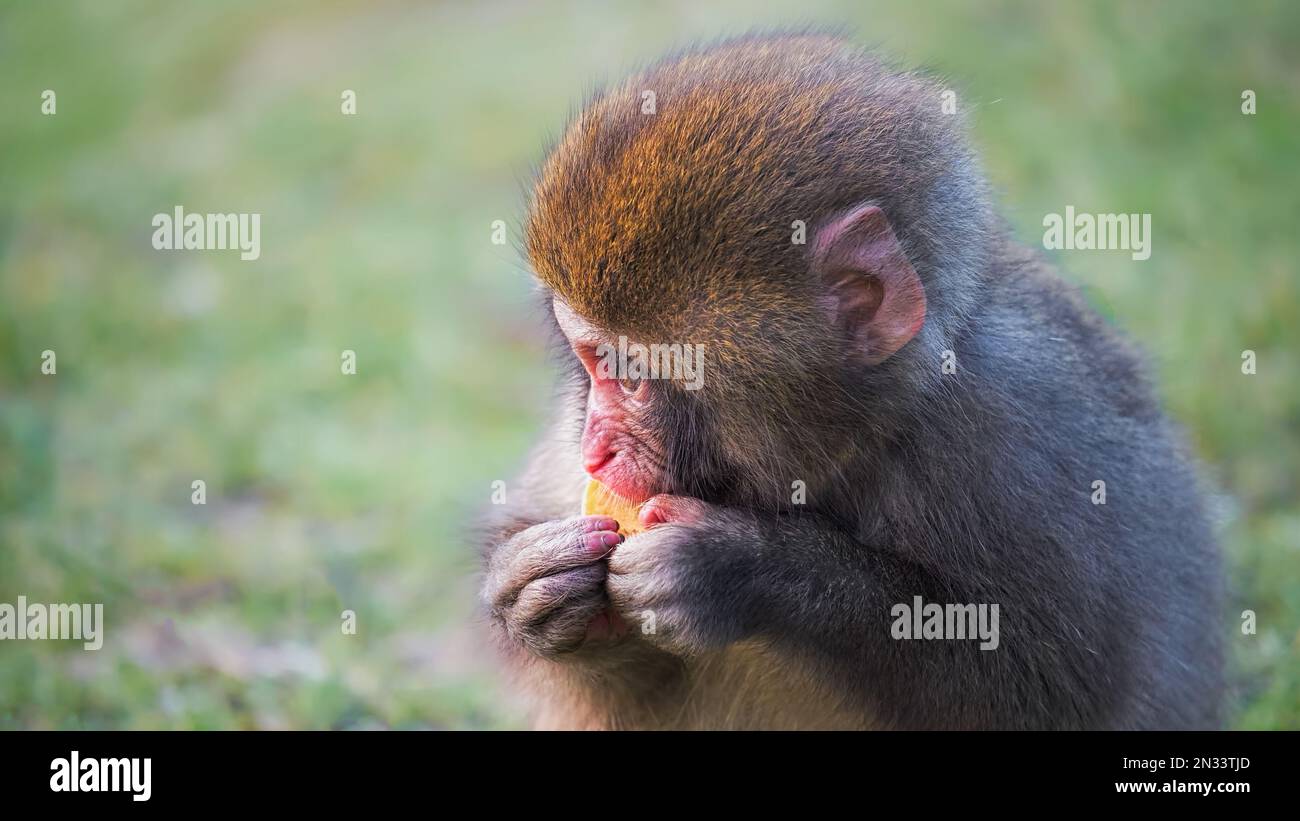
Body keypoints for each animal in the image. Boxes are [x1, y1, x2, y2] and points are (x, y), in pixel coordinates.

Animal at [478, 32, 1216, 727]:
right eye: (591, 363)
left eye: (629, 376)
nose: (592, 450)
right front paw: (533, 591)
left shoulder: (1011, 434)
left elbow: (1053, 691)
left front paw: (737, 567)